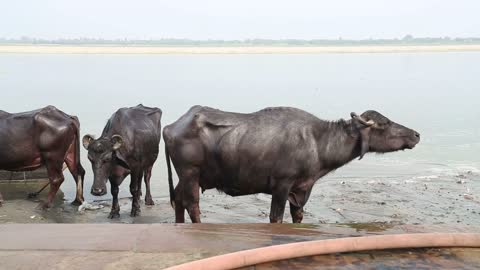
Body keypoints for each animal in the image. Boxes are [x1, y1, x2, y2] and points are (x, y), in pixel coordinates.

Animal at [163, 106, 418, 224]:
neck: (318, 141)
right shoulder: (282, 185)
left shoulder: (302, 188)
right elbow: (276, 217)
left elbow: (299, 216)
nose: (415, 135)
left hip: (186, 177)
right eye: (384, 124)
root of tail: (170, 127)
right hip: (190, 174)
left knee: (179, 200)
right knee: (192, 204)